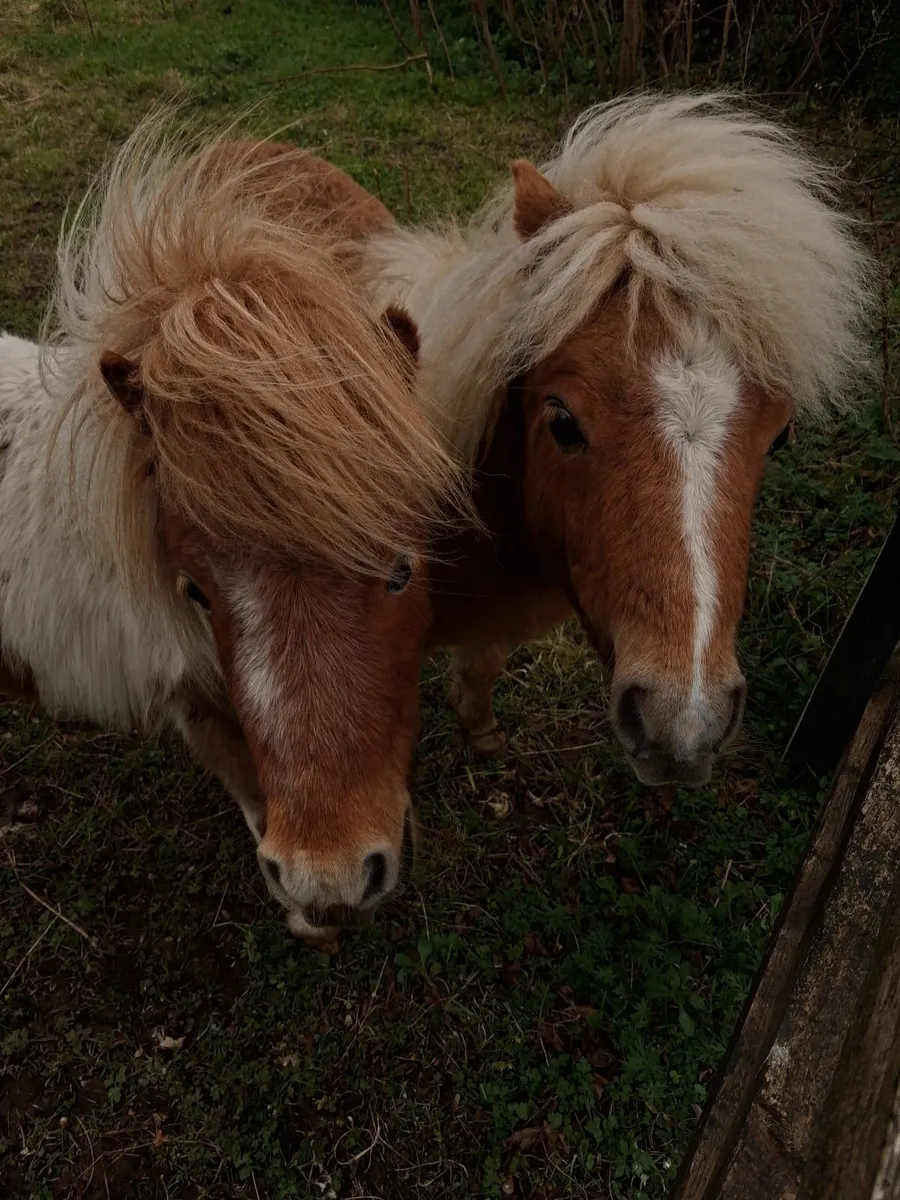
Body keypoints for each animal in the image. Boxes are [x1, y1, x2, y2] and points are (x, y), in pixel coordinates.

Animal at [0, 114, 467, 944]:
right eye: (195, 591)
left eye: (401, 571)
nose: (331, 877)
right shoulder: (197, 704)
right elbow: (251, 791)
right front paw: (306, 917)